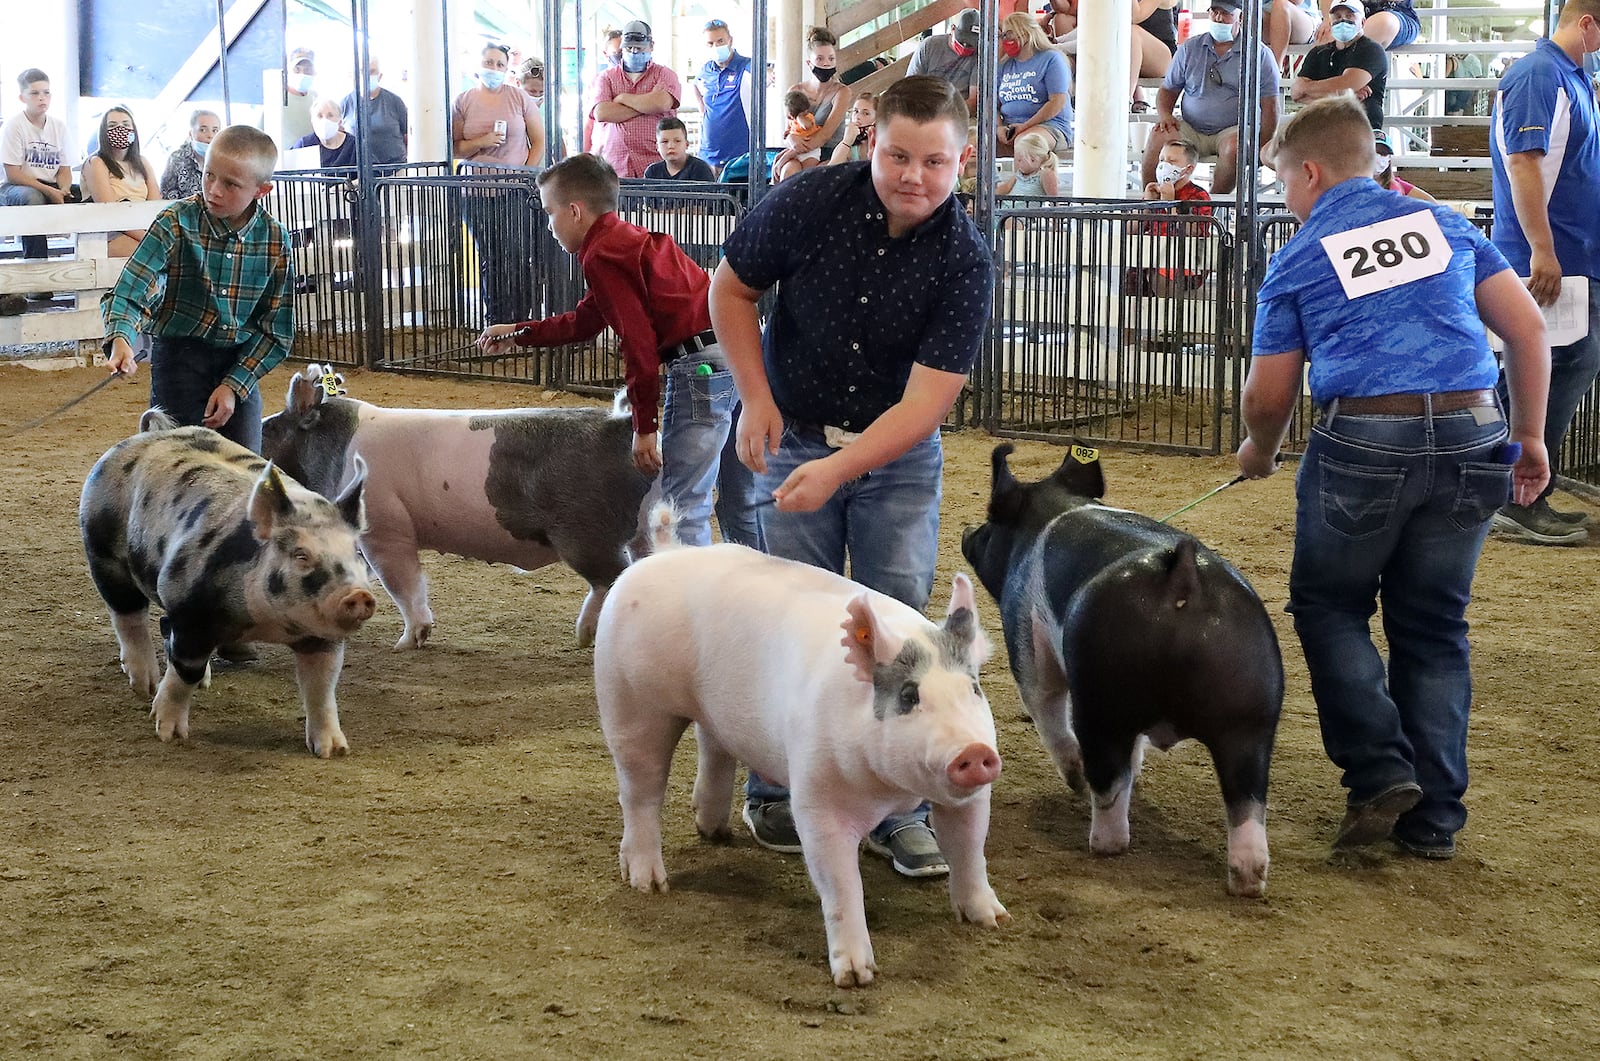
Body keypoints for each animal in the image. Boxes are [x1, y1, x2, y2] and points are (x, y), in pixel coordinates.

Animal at [79, 409, 376, 758]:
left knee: (163, 626)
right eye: (301, 555)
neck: (266, 624)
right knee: (127, 615)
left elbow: (322, 688)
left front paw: (334, 750)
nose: (358, 595)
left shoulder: (322, 637)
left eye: (357, 553)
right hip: (103, 551)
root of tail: (145, 436)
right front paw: (169, 734)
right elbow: (184, 671)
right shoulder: (191, 609)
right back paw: (144, 683)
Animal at [595, 512, 1004, 992]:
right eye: (909, 696)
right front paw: (855, 977)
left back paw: (715, 831)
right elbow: (841, 883)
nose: (973, 751)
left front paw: (992, 919)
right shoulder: (818, 794)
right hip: (629, 700)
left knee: (713, 749)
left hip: (714, 713)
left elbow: (969, 848)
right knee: (639, 791)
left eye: (973, 689)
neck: (894, 790)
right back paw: (648, 883)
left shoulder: (971, 797)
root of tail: (663, 553)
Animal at [953, 444, 1280, 902]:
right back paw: (1247, 883)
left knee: (1104, 776)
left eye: (990, 522)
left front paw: (1075, 778)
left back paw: (1098, 836)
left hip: (1101, 702)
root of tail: (1183, 576)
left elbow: (1044, 704)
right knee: (1247, 802)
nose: (967, 531)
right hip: (1251, 709)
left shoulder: (1024, 634)